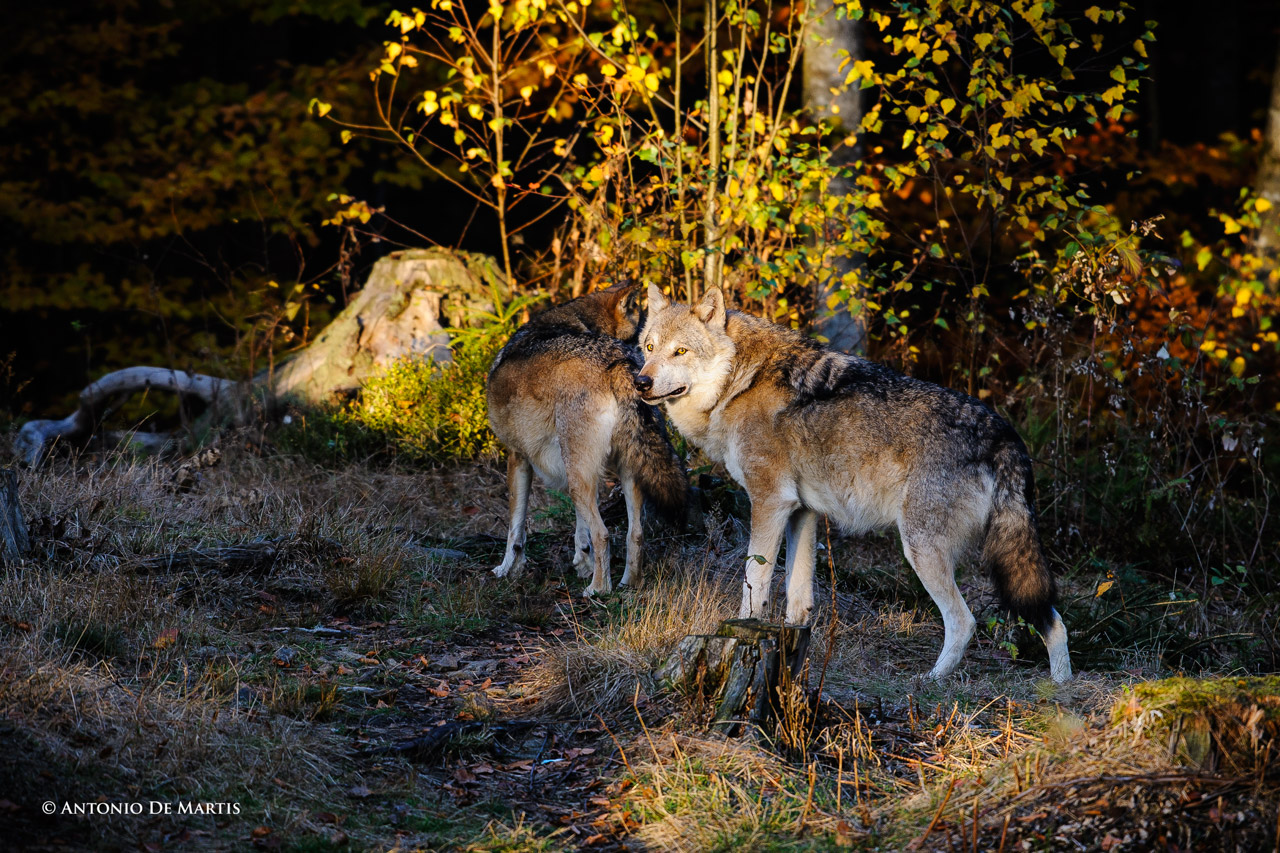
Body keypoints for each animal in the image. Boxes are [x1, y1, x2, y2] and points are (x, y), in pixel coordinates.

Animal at [487, 281, 687, 596]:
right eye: (648, 343)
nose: (647, 376)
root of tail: (618, 361)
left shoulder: (518, 458)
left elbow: (514, 529)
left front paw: (507, 570)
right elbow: (580, 530)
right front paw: (582, 562)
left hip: (578, 472)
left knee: (603, 533)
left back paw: (598, 589)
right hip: (623, 470)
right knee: (635, 533)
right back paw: (627, 583)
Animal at [636, 285, 1071, 683]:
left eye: (680, 352)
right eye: (649, 347)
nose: (641, 382)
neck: (740, 380)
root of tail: (1004, 434)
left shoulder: (770, 502)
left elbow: (754, 584)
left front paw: (745, 630)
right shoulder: (803, 512)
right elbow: (798, 598)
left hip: (920, 549)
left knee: (964, 622)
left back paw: (930, 679)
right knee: (1055, 623)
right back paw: (1058, 693)